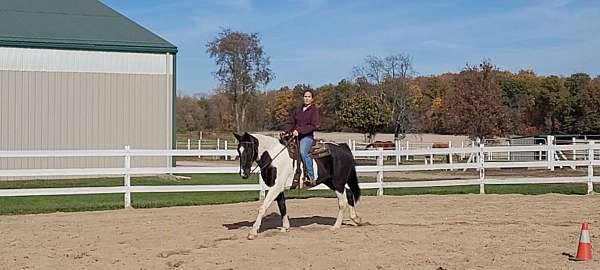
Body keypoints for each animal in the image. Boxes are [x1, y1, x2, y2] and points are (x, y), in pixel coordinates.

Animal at [236, 132, 364, 239]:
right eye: (238, 150)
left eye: (248, 150)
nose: (243, 173)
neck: (274, 158)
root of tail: (343, 147)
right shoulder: (278, 188)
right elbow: (282, 206)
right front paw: (285, 227)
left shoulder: (275, 187)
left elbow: (263, 207)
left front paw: (253, 232)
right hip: (331, 181)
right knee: (349, 193)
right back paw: (356, 219)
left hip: (338, 182)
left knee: (342, 202)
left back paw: (336, 226)